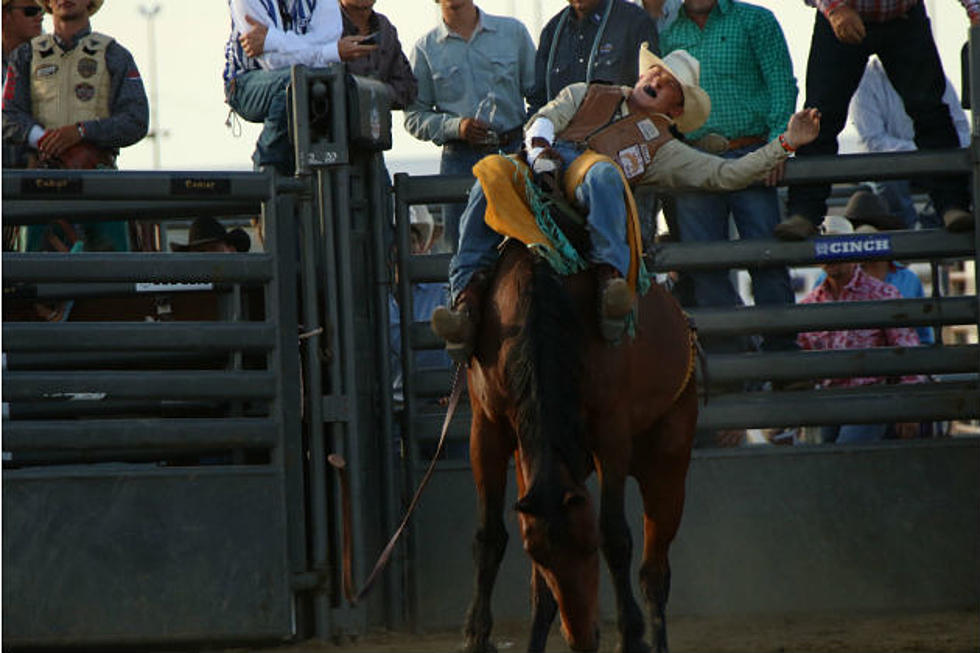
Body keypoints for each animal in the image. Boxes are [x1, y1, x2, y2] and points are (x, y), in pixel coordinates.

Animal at [460, 241, 696, 652]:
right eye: (537, 554)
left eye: (588, 548)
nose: (583, 639)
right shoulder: (486, 428)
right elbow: (489, 537)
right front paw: (477, 636)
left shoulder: (611, 430)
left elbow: (615, 535)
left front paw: (632, 636)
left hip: (667, 465)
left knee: (654, 574)